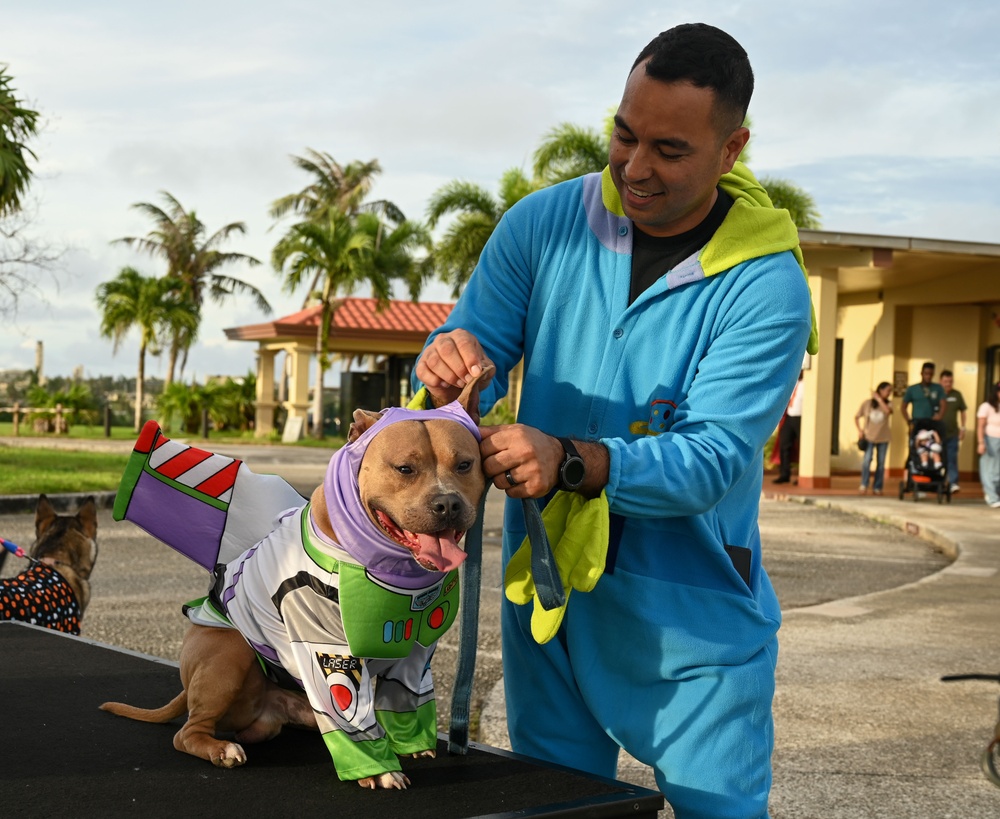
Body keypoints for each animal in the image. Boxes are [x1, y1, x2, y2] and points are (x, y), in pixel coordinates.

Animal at [101, 370, 492, 788]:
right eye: (405, 468)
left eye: (465, 464)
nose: (448, 503)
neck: (389, 568)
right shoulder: (328, 652)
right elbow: (351, 712)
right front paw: (380, 770)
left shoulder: (416, 649)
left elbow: (405, 695)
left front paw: (409, 742)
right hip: (230, 653)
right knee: (187, 731)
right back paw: (221, 750)